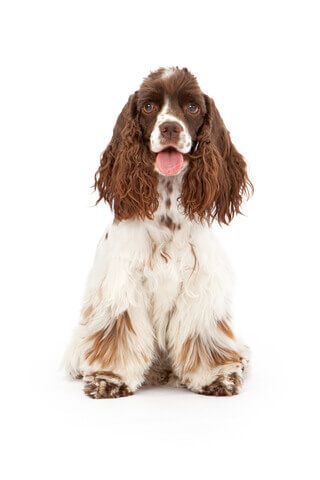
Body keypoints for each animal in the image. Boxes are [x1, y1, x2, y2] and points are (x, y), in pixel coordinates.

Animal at [65, 67, 252, 398]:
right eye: (149, 106)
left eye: (192, 107)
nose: (169, 128)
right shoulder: (123, 286)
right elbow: (118, 336)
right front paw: (110, 379)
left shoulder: (200, 287)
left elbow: (203, 334)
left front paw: (216, 377)